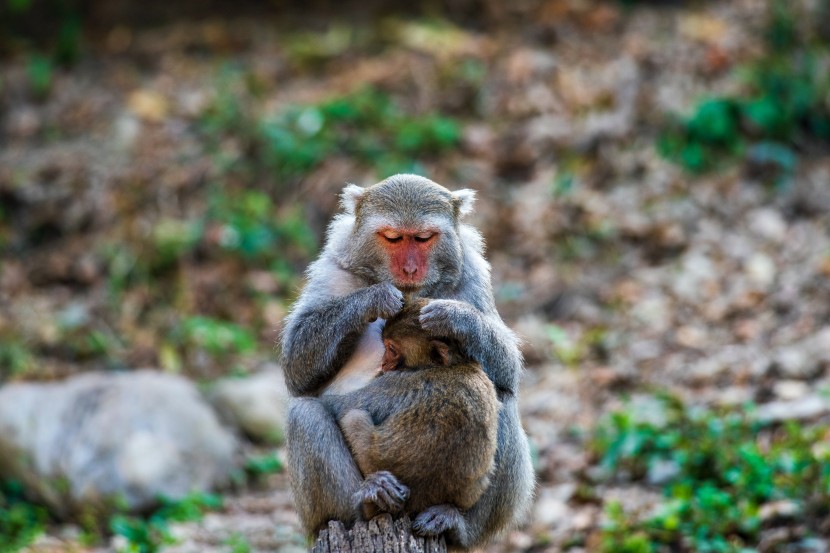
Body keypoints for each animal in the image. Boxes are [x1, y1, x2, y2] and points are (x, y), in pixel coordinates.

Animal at [320, 298, 500, 540]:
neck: (454, 364)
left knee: (354, 416)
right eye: (385, 347)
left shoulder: (396, 382)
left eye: (392, 349)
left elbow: (337, 406)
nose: (383, 364)